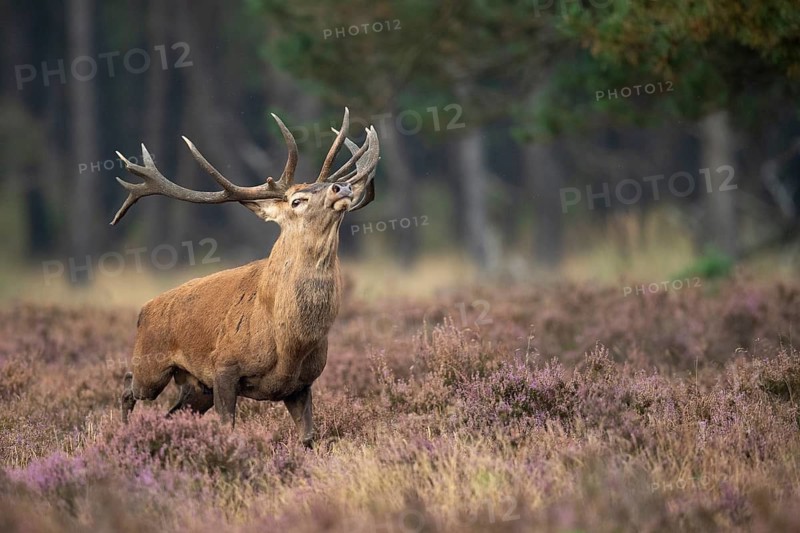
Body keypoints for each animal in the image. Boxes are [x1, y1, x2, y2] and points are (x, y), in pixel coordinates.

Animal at [114, 109, 379, 447]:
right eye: (296, 200)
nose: (341, 187)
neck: (289, 343)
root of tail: (143, 310)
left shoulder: (302, 384)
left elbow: (308, 438)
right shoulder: (224, 367)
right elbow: (227, 427)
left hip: (196, 386)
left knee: (170, 413)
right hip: (151, 364)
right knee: (127, 386)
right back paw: (123, 434)